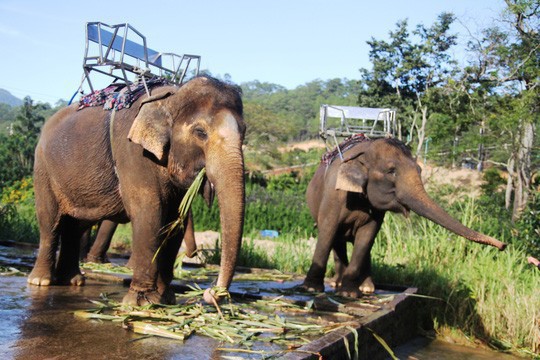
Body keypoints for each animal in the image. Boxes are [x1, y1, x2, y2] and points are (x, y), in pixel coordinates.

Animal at [30, 75, 246, 304]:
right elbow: (150, 211)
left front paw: (164, 299)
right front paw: (141, 302)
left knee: (76, 225)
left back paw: (73, 281)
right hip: (43, 169)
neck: (171, 98)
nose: (211, 293)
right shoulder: (133, 153)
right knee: (50, 220)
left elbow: (174, 218)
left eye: (244, 132)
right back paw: (41, 281)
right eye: (200, 132)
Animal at [304, 136, 506, 298]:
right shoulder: (334, 196)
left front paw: (349, 293)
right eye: (391, 171)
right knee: (337, 240)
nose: (503, 245)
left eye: (419, 170)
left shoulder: (375, 210)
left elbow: (366, 236)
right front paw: (312, 289)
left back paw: (367, 288)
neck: (364, 151)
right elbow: (328, 230)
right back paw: (338, 283)